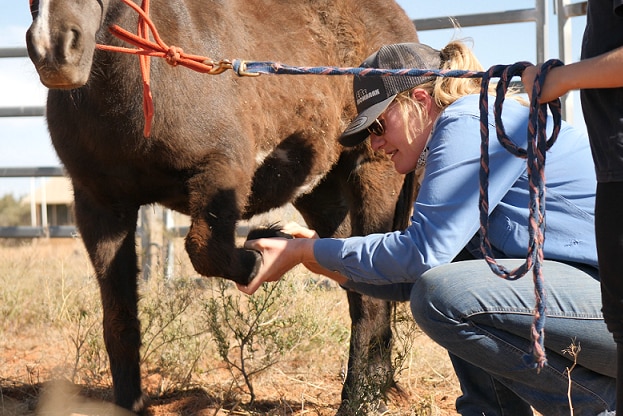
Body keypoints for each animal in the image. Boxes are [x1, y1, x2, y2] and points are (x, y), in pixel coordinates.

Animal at [26, 0, 422, 412]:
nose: (54, 47)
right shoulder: (100, 206)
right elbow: (119, 320)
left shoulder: (222, 169)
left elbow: (205, 250)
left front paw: (261, 254)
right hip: (321, 191)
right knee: (353, 278)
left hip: (375, 172)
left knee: (373, 295)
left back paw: (362, 398)